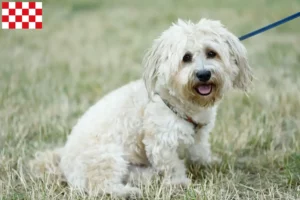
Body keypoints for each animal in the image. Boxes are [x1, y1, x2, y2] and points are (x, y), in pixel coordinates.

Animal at [29, 18, 251, 197]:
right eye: (186, 57)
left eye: (212, 53)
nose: (203, 74)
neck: (178, 101)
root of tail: (63, 162)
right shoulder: (161, 143)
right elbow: (172, 166)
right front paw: (179, 183)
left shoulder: (199, 135)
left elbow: (200, 152)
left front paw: (210, 162)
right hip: (108, 157)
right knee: (99, 186)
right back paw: (126, 192)